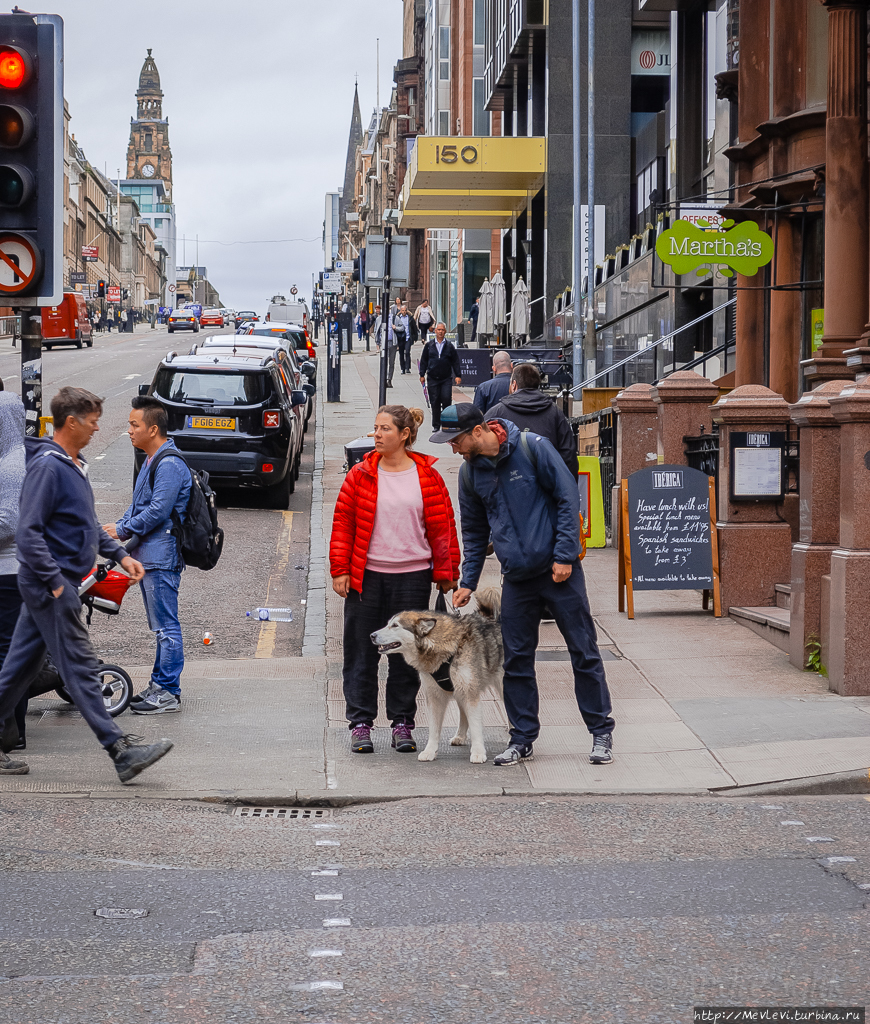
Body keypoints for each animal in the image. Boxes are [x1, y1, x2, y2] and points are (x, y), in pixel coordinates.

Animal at [370, 593, 505, 761]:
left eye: (395, 625)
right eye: (389, 624)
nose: (372, 635)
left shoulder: (470, 692)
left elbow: (475, 726)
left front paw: (478, 752)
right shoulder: (435, 695)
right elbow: (434, 728)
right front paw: (430, 751)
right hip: (459, 690)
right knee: (463, 712)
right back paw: (460, 736)